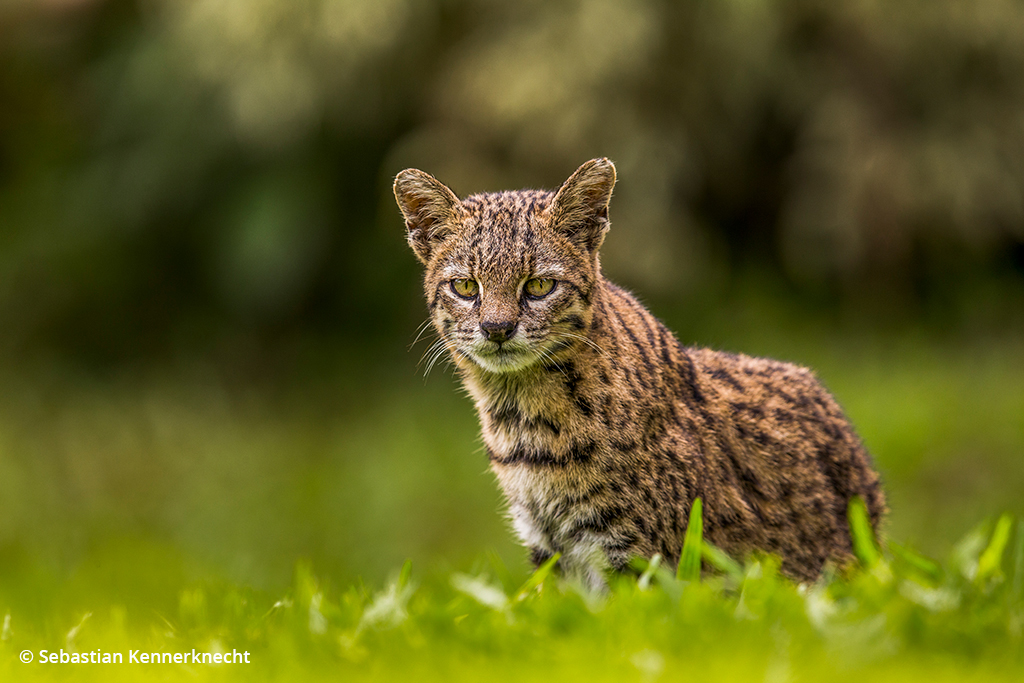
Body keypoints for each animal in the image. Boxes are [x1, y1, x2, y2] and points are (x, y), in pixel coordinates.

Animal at [391, 158, 888, 589]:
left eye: (539, 285)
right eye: (465, 286)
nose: (497, 329)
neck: (520, 414)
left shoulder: (634, 554)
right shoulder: (550, 547)